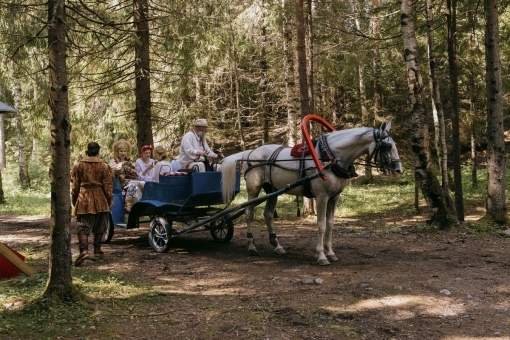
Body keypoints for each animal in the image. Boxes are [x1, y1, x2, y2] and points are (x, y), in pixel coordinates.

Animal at [221, 121, 404, 266]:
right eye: (388, 146)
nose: (398, 169)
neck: (330, 156)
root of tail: (250, 152)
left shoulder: (334, 197)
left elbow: (330, 224)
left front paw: (330, 253)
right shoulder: (322, 197)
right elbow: (321, 225)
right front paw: (321, 256)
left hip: (272, 190)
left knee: (268, 214)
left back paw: (277, 245)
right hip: (254, 189)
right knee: (249, 213)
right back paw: (251, 246)